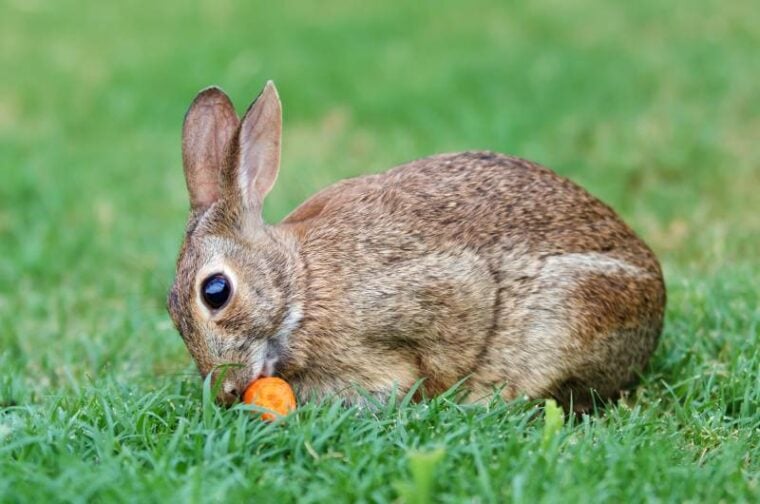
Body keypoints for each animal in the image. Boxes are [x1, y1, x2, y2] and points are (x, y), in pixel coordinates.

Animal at [166, 80, 664, 412]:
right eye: (171, 310)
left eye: (216, 292)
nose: (226, 392)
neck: (300, 287)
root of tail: (656, 306)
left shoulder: (439, 291)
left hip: (576, 308)